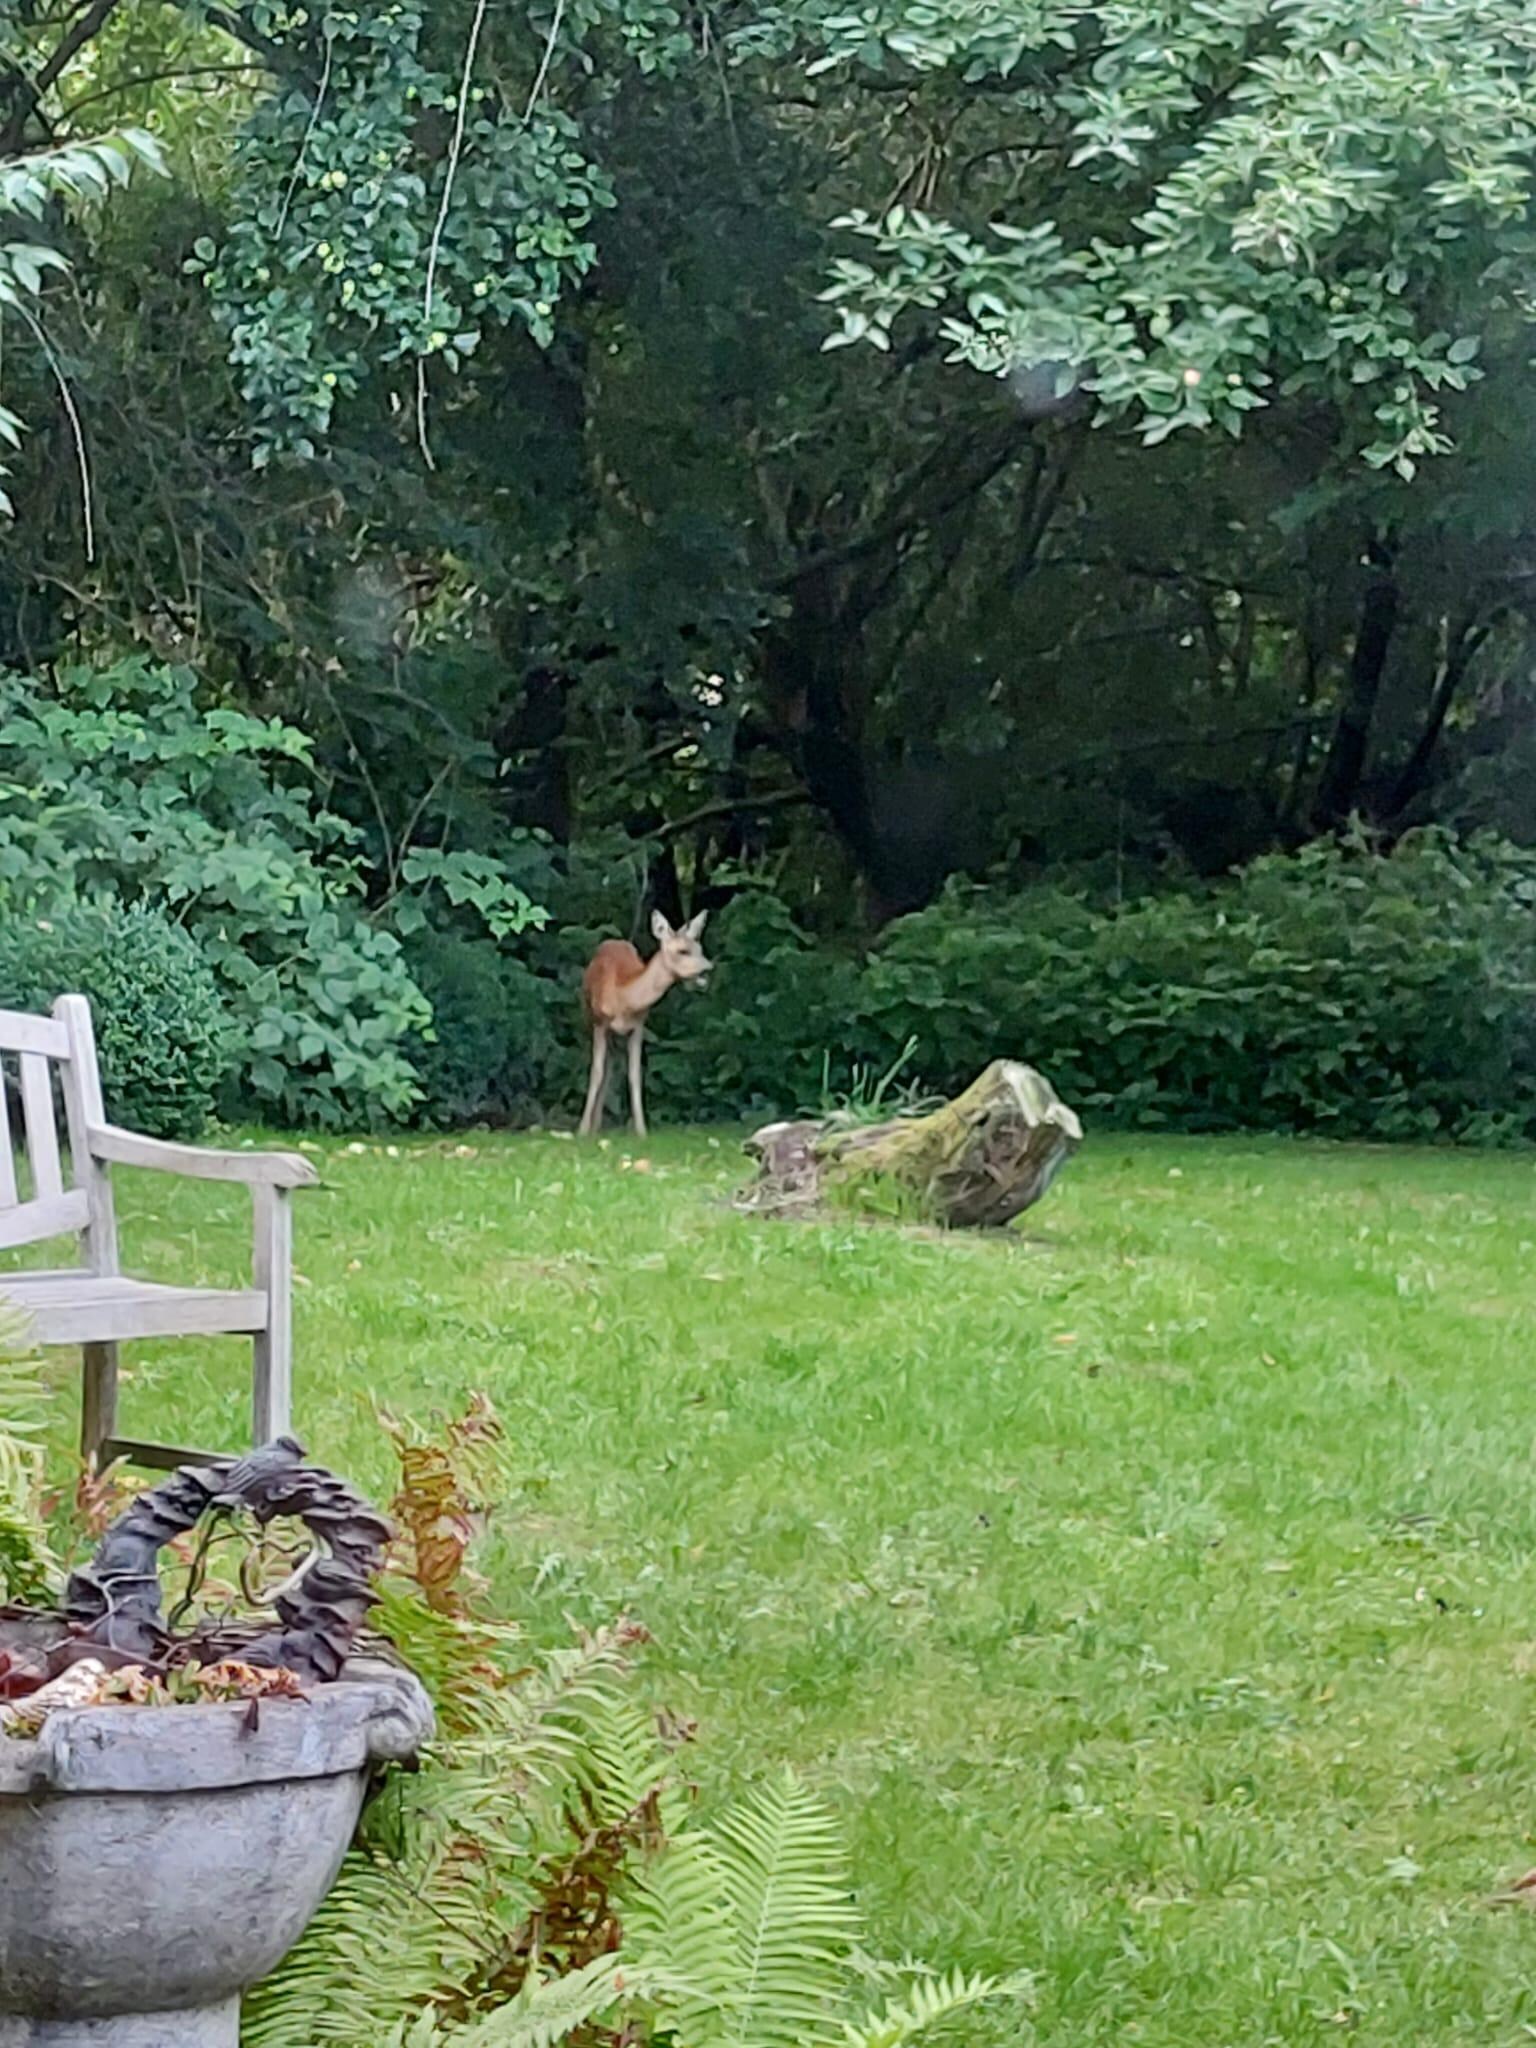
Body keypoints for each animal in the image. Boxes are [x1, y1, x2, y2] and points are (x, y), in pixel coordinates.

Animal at [579, 910, 712, 1138]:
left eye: (700, 949)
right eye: (683, 951)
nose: (708, 969)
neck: (624, 998)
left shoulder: (638, 1026)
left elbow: (634, 1075)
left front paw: (641, 1131)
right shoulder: (600, 1024)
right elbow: (595, 1072)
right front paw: (581, 1130)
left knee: (611, 1066)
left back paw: (597, 1125)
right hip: (589, 1017)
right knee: (604, 1068)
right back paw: (593, 1127)